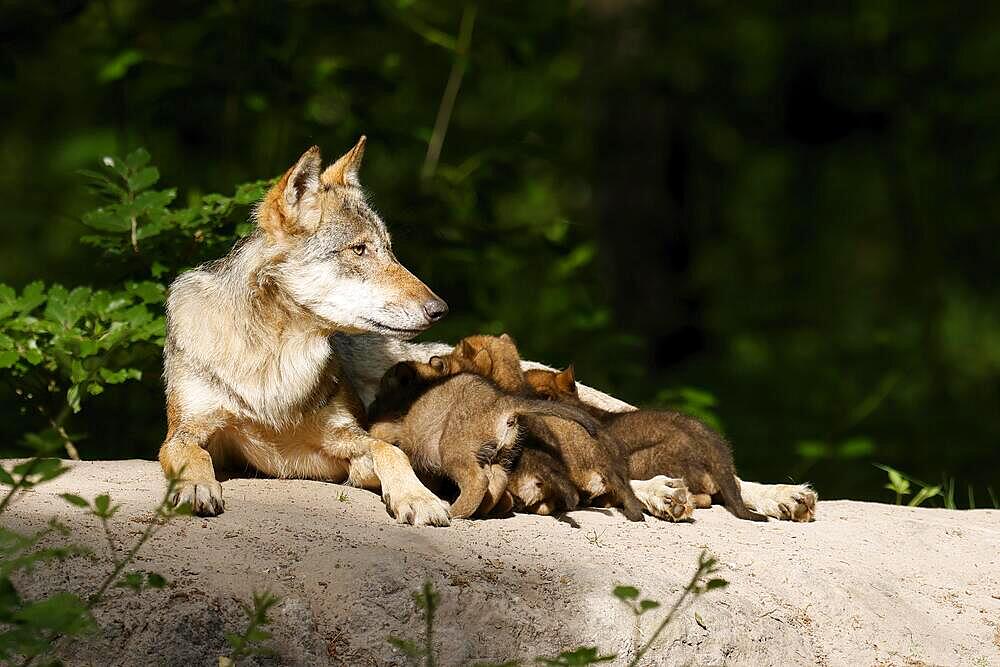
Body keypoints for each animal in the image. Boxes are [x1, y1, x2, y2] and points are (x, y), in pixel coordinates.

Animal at [160, 140, 816, 528]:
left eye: (390, 249)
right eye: (360, 250)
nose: (439, 307)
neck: (274, 361)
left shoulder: (350, 440)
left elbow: (390, 452)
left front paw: (419, 498)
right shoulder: (186, 432)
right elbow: (190, 453)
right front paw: (196, 488)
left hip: (603, 400)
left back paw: (765, 495)